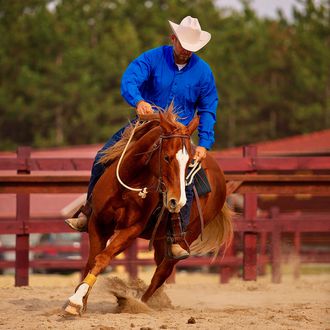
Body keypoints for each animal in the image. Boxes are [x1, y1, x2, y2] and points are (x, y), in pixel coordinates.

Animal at [63, 107, 232, 314]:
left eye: (188, 163)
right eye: (166, 157)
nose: (178, 201)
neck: (129, 185)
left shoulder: (131, 230)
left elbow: (102, 258)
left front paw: (76, 300)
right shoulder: (98, 223)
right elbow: (91, 261)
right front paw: (80, 300)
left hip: (188, 236)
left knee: (162, 271)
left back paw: (140, 303)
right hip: (160, 238)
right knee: (160, 264)